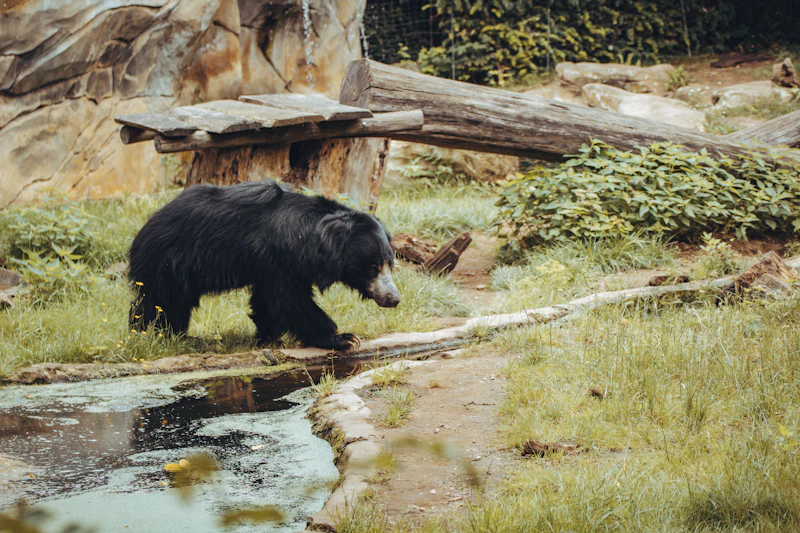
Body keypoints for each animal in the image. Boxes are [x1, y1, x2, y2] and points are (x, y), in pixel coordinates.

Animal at [127, 180, 400, 350]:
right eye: (373, 268)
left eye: (390, 264)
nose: (394, 299)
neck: (313, 241)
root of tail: (145, 227)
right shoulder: (279, 258)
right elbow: (290, 301)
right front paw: (343, 338)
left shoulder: (278, 266)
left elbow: (267, 302)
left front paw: (268, 338)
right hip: (170, 262)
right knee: (162, 302)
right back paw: (154, 334)